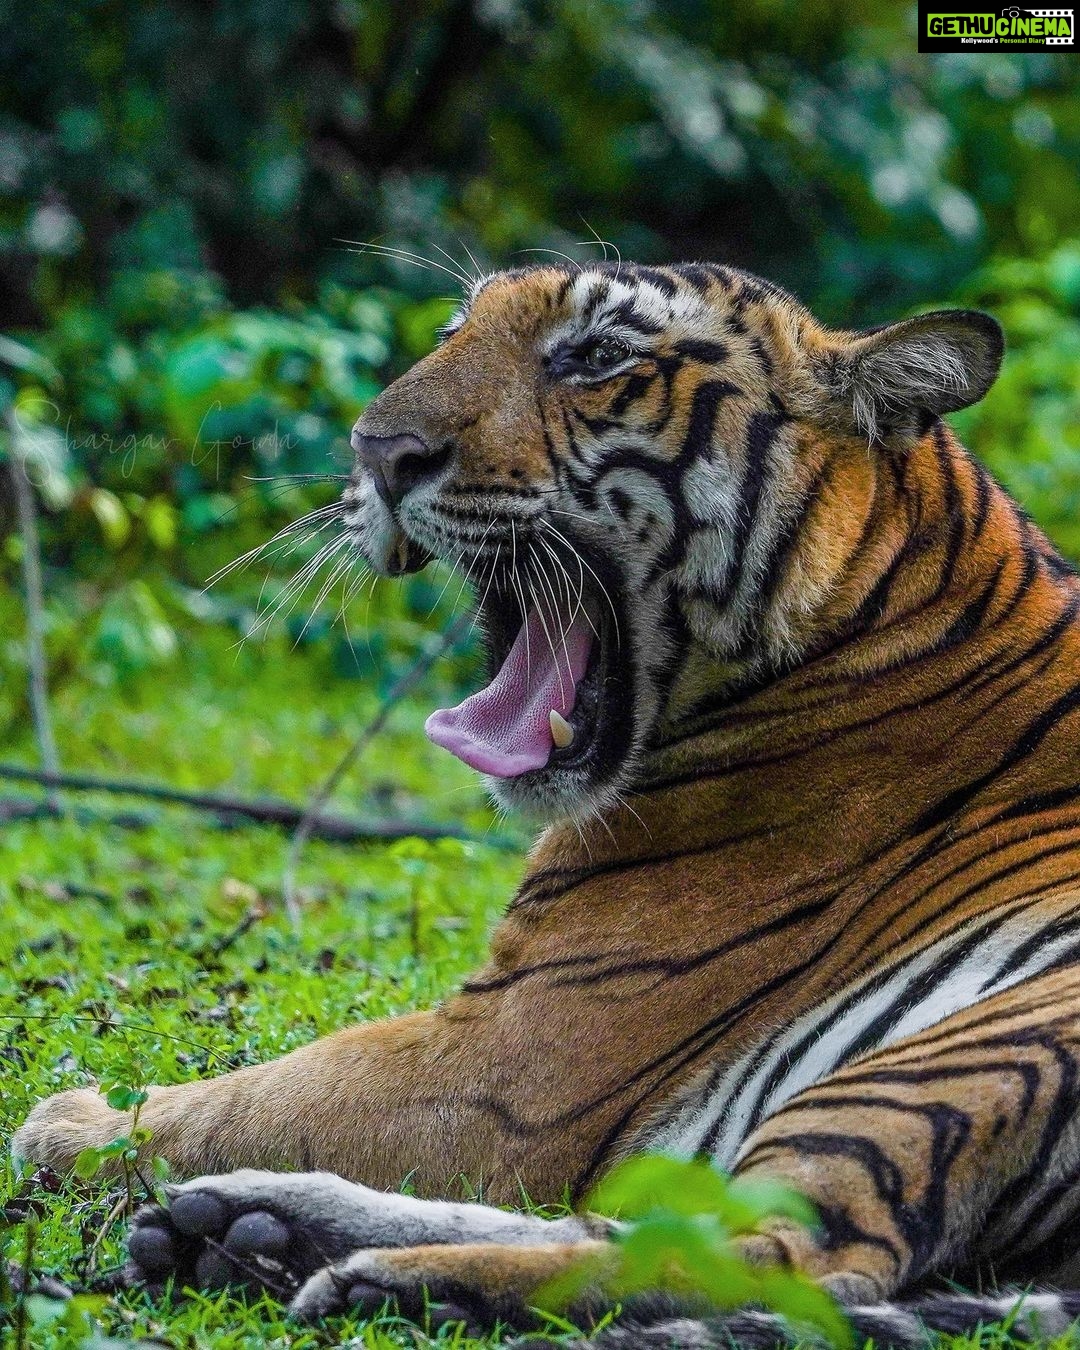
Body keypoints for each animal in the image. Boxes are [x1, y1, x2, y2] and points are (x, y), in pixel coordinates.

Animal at [15, 259, 1080, 1348]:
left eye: (596, 356)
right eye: (454, 330)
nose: (377, 451)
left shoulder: (510, 1058)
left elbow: (268, 1095)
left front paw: (69, 1125)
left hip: (973, 1050)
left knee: (787, 1262)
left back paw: (381, 1279)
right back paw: (246, 1230)